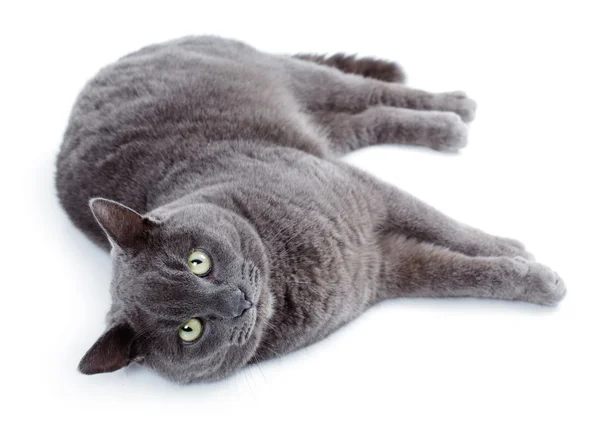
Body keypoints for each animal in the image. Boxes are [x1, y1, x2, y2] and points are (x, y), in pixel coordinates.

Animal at [54, 34, 564, 382]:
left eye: (199, 262)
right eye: (189, 329)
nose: (239, 301)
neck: (288, 274)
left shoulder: (367, 194)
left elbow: (450, 228)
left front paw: (515, 251)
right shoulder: (386, 268)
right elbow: (462, 275)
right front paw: (536, 278)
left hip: (296, 80)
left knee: (368, 92)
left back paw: (453, 112)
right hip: (325, 132)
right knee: (366, 118)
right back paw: (448, 124)